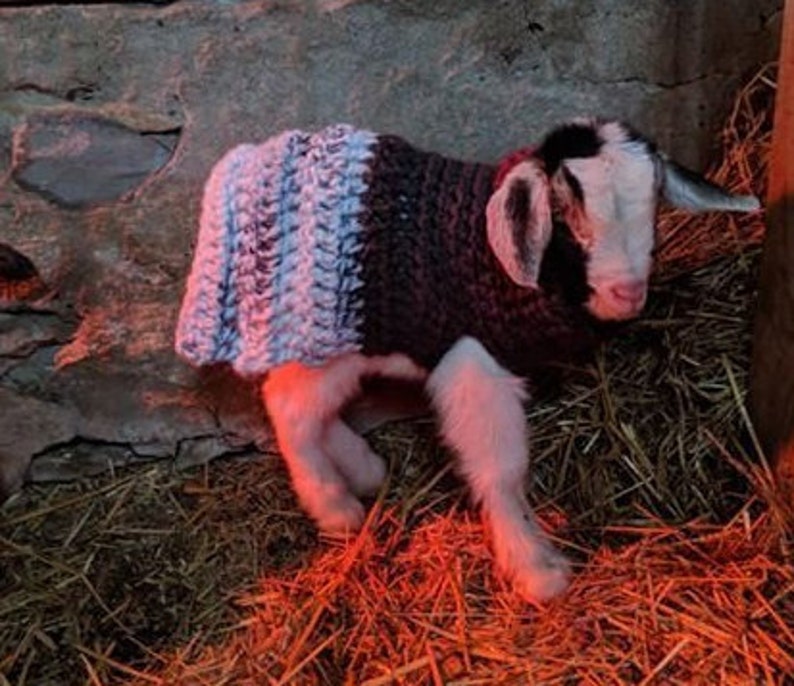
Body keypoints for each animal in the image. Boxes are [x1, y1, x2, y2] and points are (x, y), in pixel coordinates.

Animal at [176, 119, 758, 601]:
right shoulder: (477, 364)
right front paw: (536, 569)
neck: (501, 264)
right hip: (324, 337)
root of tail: (238, 170)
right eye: (566, 216)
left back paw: (364, 468)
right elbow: (502, 471)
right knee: (288, 409)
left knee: (302, 405)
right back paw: (337, 508)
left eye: (653, 205)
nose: (628, 293)